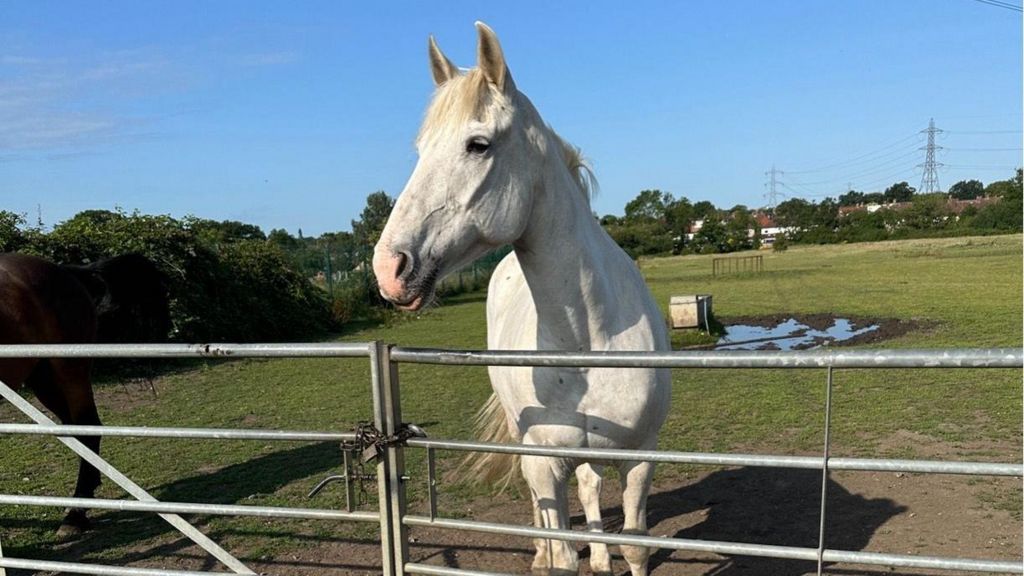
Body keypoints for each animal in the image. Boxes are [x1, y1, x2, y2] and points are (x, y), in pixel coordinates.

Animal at [374, 22, 671, 573]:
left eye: (478, 144)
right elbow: (561, 552)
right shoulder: (543, 462)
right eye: (421, 149)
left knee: (590, 485)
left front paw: (610, 556)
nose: (388, 268)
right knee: (548, 510)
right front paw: (558, 555)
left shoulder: (643, 456)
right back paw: (542, 552)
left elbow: (635, 546)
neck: (587, 341)